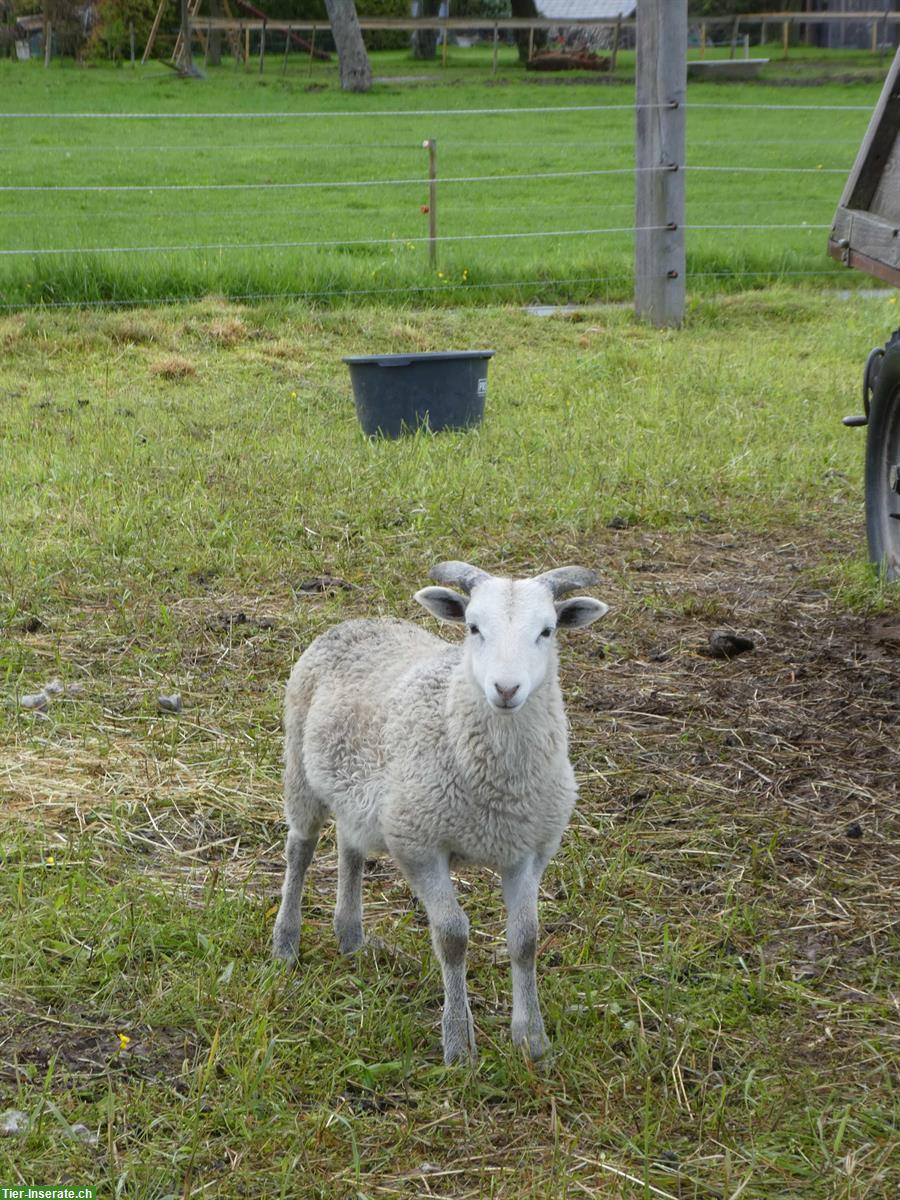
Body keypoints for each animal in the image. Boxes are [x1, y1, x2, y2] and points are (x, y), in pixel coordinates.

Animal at [273, 556, 614, 1065]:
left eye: (547, 631)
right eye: (473, 627)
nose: (506, 688)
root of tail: (359, 621)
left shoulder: (528, 850)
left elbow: (526, 940)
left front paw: (532, 1041)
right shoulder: (419, 843)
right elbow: (453, 937)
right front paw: (458, 1044)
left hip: (360, 792)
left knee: (350, 848)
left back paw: (351, 939)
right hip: (300, 765)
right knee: (301, 850)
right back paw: (286, 942)